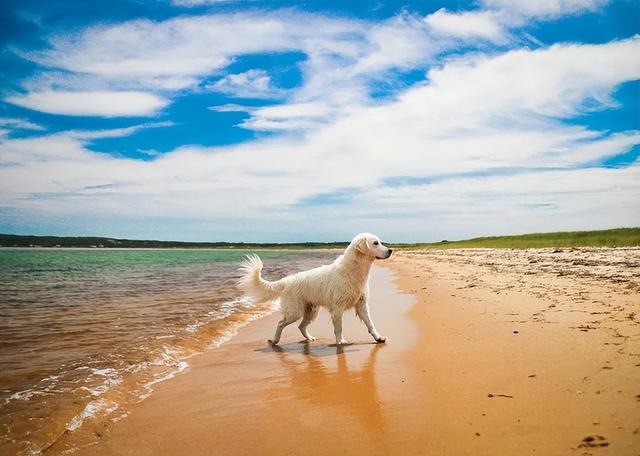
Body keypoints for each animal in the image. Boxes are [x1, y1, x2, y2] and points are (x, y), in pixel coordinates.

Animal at [239, 233, 392, 344]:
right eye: (375, 243)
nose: (391, 250)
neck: (354, 271)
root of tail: (287, 280)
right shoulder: (338, 308)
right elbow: (339, 328)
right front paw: (340, 341)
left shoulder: (361, 304)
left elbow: (370, 323)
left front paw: (378, 338)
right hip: (295, 311)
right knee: (280, 323)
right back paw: (275, 340)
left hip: (311, 312)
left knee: (301, 326)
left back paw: (309, 338)